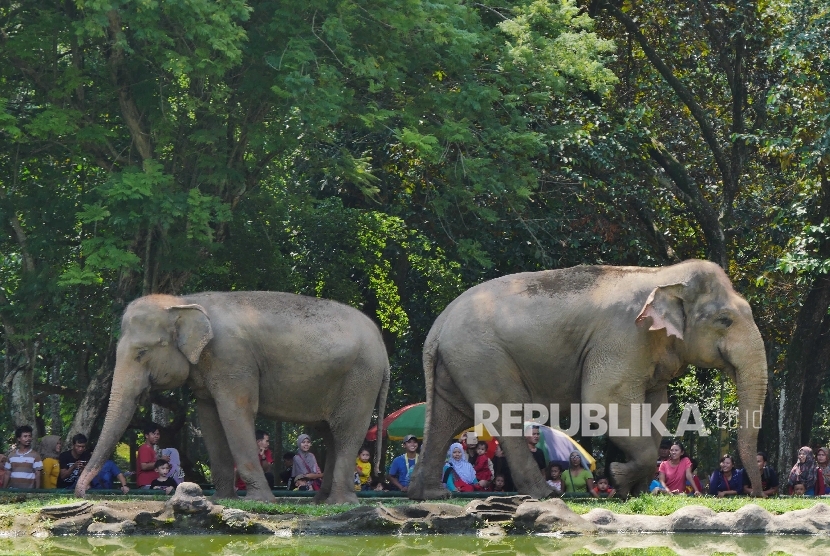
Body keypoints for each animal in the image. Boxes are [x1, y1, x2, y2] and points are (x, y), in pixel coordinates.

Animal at [75, 292, 390, 504]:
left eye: (141, 353)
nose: (82, 492)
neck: (184, 301)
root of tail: (383, 347)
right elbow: (210, 420)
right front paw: (221, 500)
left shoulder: (232, 359)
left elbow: (235, 413)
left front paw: (258, 502)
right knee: (330, 433)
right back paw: (320, 502)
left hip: (361, 379)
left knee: (347, 432)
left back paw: (340, 503)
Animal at [408, 260, 768, 500]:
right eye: (725, 320)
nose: (758, 493)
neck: (663, 275)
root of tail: (437, 327)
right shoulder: (623, 338)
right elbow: (603, 400)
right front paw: (619, 479)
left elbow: (657, 409)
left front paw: (634, 491)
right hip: (482, 357)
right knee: (506, 414)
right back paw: (545, 494)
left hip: (459, 363)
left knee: (446, 419)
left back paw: (429, 495)